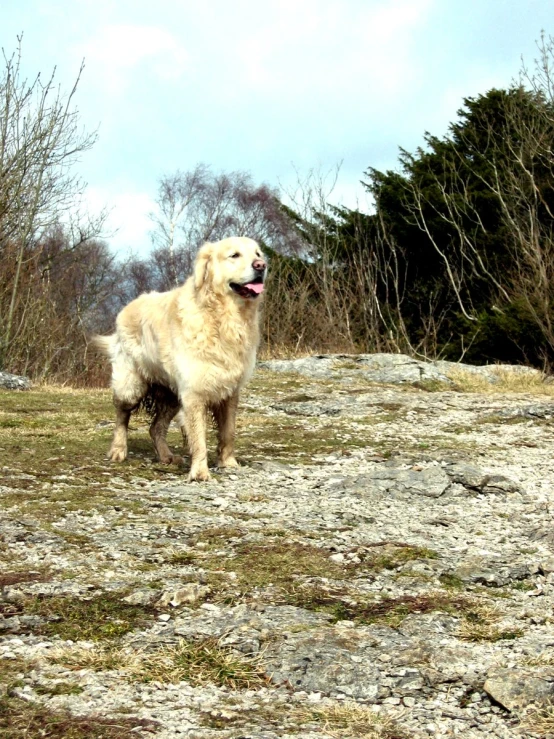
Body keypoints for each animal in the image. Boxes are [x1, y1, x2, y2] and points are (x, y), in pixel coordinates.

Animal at [94, 234, 266, 482]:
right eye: (234, 255)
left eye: (258, 254)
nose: (261, 266)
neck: (223, 317)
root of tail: (127, 306)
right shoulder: (194, 393)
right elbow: (199, 437)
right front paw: (200, 472)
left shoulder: (230, 390)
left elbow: (228, 431)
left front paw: (228, 463)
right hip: (130, 385)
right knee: (121, 416)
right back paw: (118, 450)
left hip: (171, 394)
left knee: (155, 427)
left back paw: (166, 456)